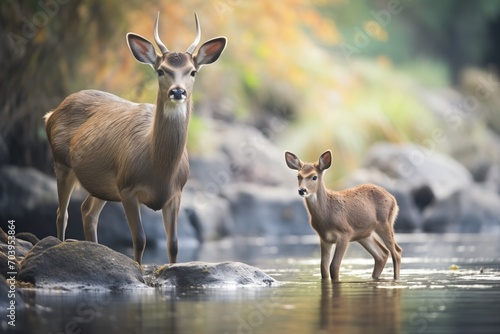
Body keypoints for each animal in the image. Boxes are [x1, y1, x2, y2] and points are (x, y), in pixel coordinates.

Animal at [45, 12, 229, 264]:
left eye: (193, 71)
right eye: (161, 70)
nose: (177, 91)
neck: (159, 171)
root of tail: (51, 113)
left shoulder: (176, 193)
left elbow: (173, 244)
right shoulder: (128, 188)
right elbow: (140, 240)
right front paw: (137, 269)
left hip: (101, 182)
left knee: (87, 211)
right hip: (62, 162)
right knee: (61, 213)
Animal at [286, 150, 402, 280]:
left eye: (314, 176)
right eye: (298, 176)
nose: (302, 190)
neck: (326, 215)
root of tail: (393, 199)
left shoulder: (345, 233)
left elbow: (334, 266)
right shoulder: (324, 238)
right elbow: (323, 268)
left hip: (385, 223)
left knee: (396, 252)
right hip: (364, 234)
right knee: (382, 254)